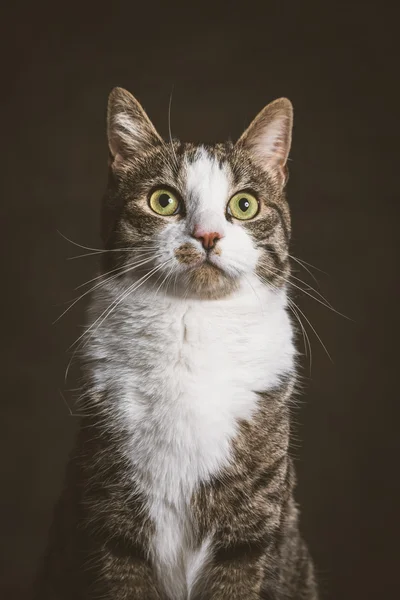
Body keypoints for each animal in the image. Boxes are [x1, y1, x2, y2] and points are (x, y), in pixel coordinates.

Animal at [36, 86, 320, 596]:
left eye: (244, 205)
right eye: (163, 201)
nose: (207, 235)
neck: (194, 329)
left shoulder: (250, 528)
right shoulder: (111, 514)